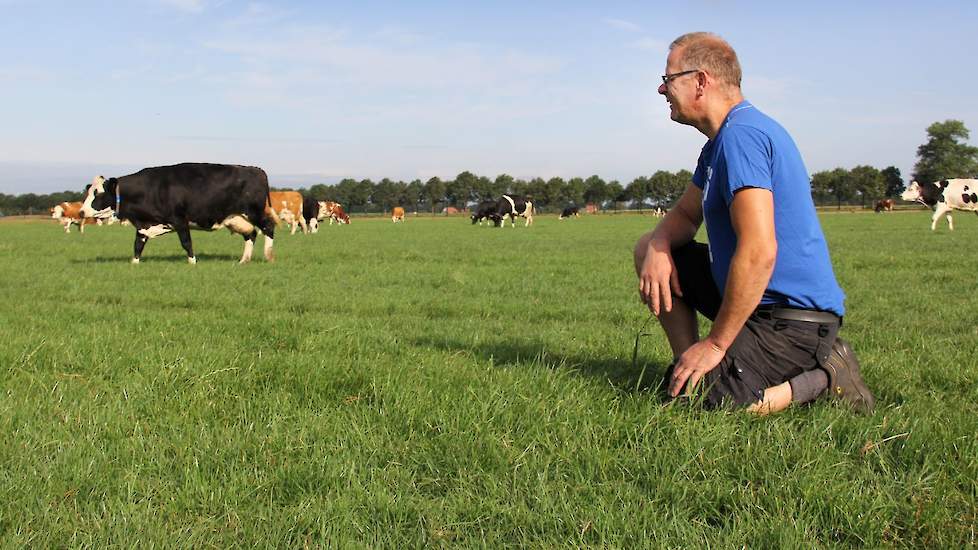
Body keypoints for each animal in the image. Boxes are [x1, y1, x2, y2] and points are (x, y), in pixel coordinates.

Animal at [77, 162, 276, 266]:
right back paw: (244, 260)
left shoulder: (180, 220)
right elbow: (137, 246)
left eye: (98, 193)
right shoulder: (143, 225)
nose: (81, 211)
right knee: (251, 233)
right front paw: (134, 263)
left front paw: (192, 262)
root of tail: (256, 169)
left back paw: (268, 256)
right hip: (236, 218)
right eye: (89, 192)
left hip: (254, 212)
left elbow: (186, 242)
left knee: (268, 227)